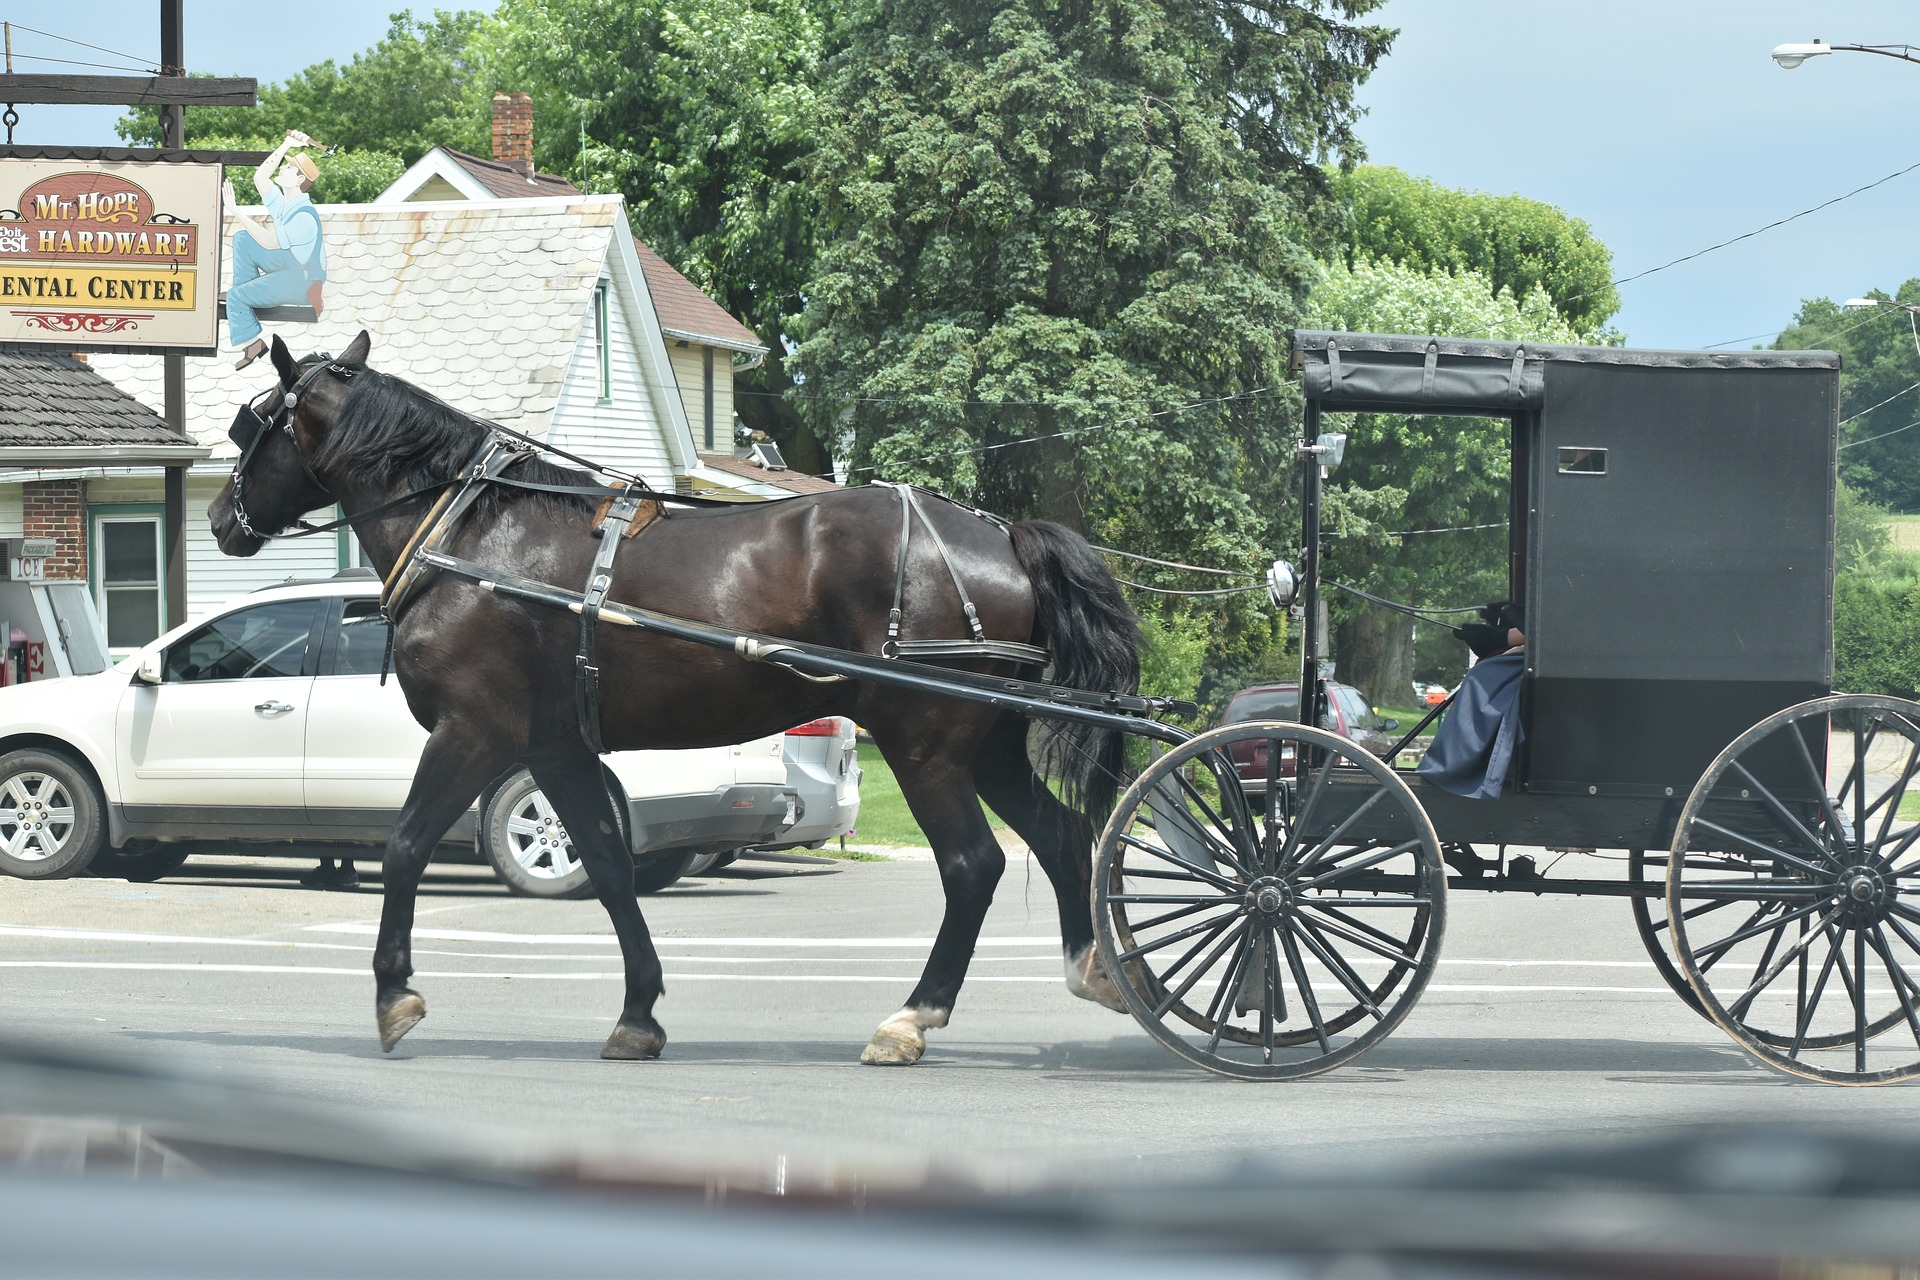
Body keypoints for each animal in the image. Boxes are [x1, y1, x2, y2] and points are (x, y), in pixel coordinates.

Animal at [210, 335, 1136, 1066]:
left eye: (251, 425)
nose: (220, 517)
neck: (470, 534)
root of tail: (1002, 537)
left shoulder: (473, 731)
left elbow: (404, 847)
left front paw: (393, 996)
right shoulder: (556, 747)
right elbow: (611, 868)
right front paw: (638, 1015)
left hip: (926, 743)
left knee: (973, 866)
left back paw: (912, 1017)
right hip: (987, 743)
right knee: (1063, 835)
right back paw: (1094, 968)